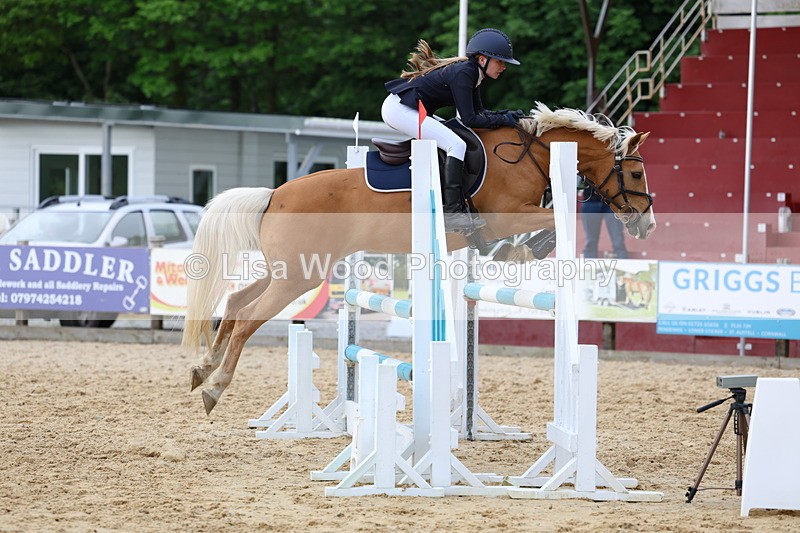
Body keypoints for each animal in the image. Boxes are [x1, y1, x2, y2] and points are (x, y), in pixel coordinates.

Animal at [183, 102, 656, 414]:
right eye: (635, 173)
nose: (647, 225)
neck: (534, 154)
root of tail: (275, 193)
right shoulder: (504, 215)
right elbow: (561, 217)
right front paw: (523, 249)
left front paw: (517, 250)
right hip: (297, 276)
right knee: (247, 318)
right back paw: (215, 387)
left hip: (292, 270)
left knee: (235, 303)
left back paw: (203, 368)